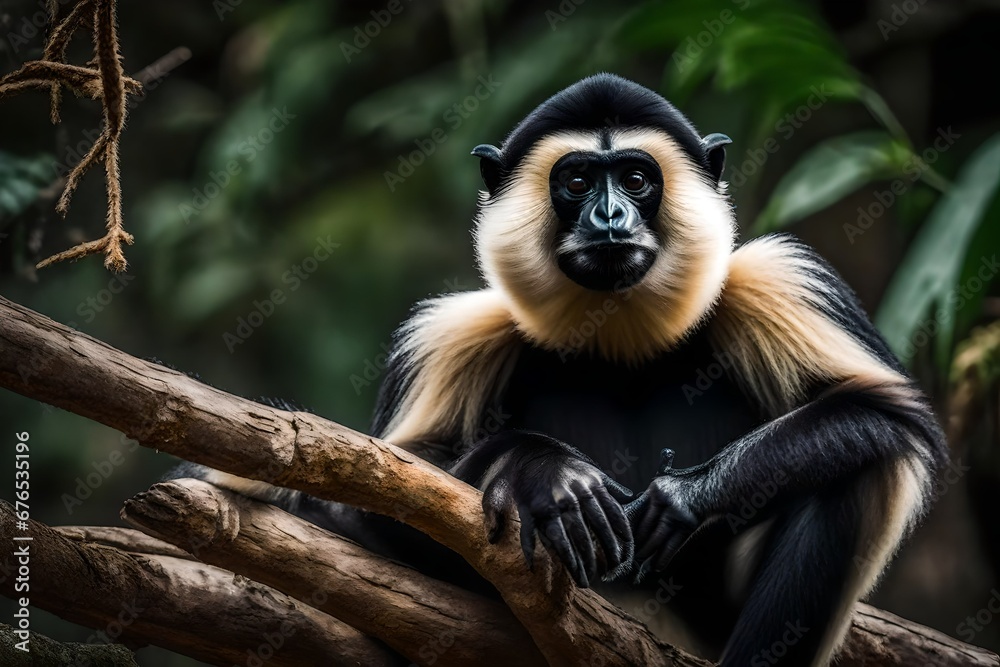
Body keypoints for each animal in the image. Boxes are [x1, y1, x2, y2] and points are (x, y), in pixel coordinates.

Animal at [173, 73, 946, 666]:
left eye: (634, 178)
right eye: (576, 180)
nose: (609, 218)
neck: (622, 340)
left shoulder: (780, 279)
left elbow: (892, 415)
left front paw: (685, 496)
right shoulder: (448, 335)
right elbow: (376, 485)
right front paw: (545, 473)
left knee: (863, 465)